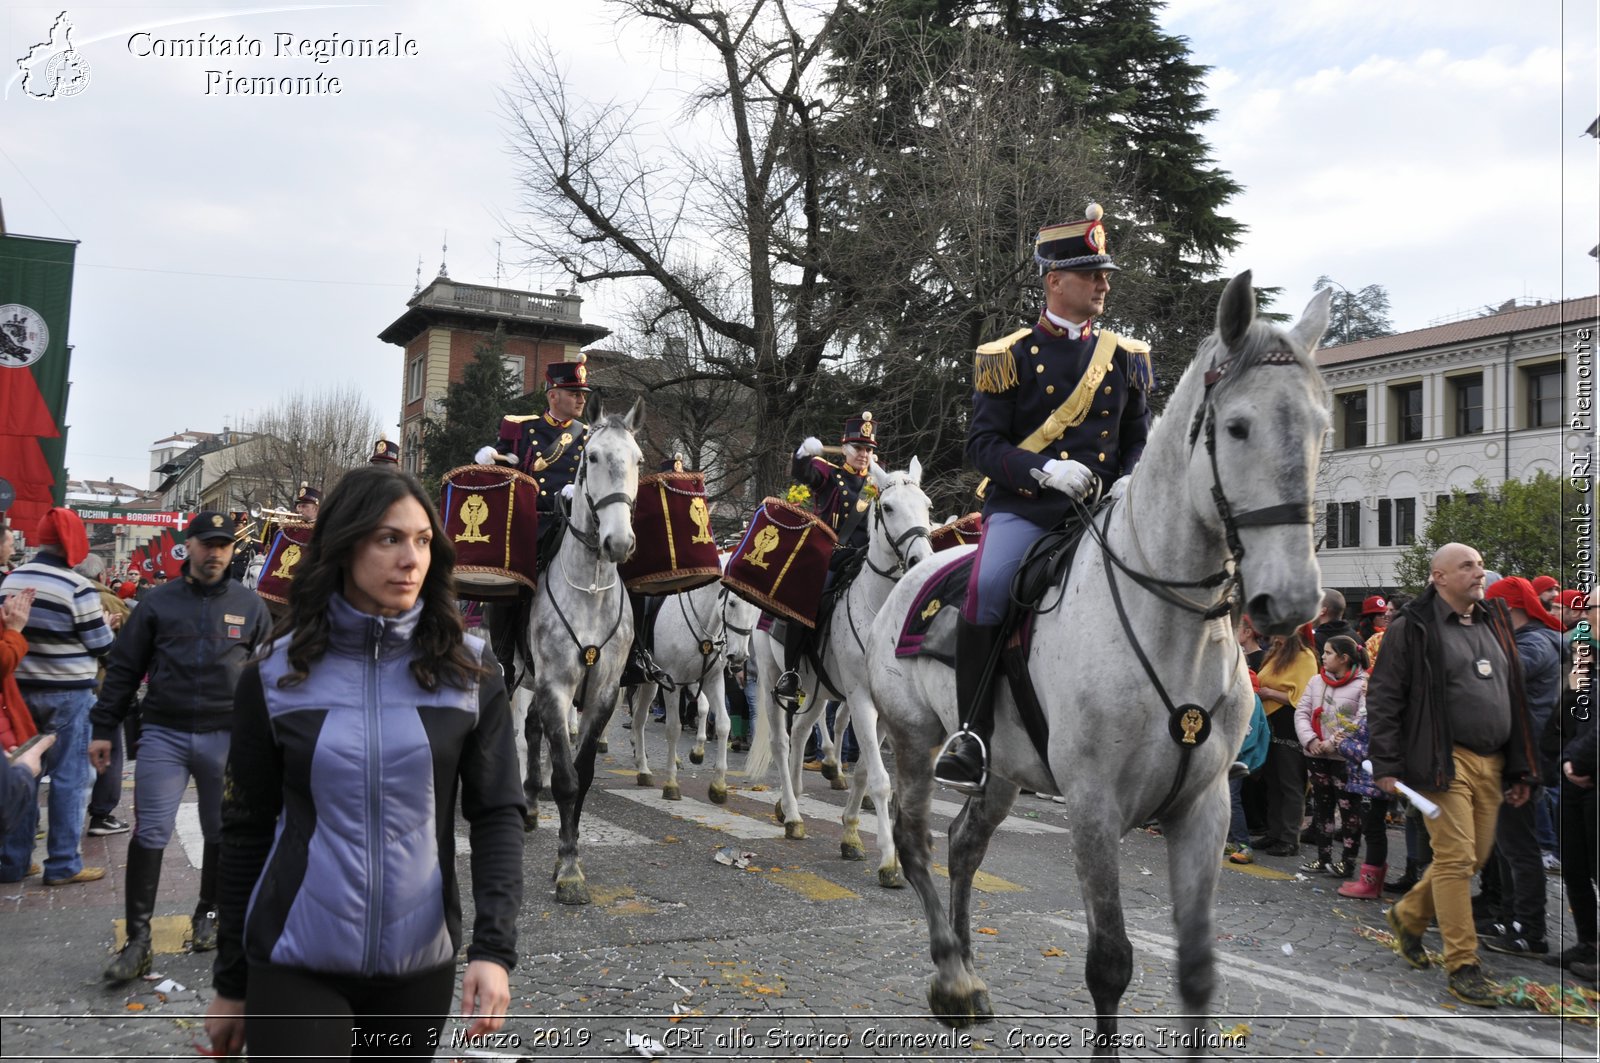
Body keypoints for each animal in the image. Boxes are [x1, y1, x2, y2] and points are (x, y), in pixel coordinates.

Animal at [508, 398, 640, 902]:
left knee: (531, 730)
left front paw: (570, 855)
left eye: (638, 459)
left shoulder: (602, 692)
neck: (590, 589)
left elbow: (580, 778)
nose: (618, 542)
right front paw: (567, 870)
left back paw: (529, 803)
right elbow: (564, 779)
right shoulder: (556, 685)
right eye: (593, 457)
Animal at [620, 563, 758, 797]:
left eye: (757, 610)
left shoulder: (711, 680)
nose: (739, 657)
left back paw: (643, 768)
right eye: (732, 603)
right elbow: (674, 728)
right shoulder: (673, 683)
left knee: (639, 718)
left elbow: (722, 722)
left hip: (650, 682)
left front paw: (718, 784)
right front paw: (671, 783)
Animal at [748, 454, 934, 877]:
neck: (880, 610)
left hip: (816, 689)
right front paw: (888, 859)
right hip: (771, 676)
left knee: (802, 731)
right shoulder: (861, 699)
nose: (921, 560)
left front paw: (850, 834)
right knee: (782, 741)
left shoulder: (883, 708)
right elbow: (880, 780)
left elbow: (865, 772)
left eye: (928, 506)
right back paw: (793, 814)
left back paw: (791, 798)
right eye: (889, 508)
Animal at [870, 270, 1331, 1050]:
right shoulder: (1094, 804)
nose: (1293, 598)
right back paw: (951, 976)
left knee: (963, 845)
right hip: (912, 738)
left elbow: (1198, 972)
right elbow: (1110, 962)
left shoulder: (1205, 807)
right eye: (1237, 427)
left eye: (1323, 427)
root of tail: (911, 574)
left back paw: (970, 969)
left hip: (1004, 769)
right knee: (915, 842)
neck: (1172, 627)